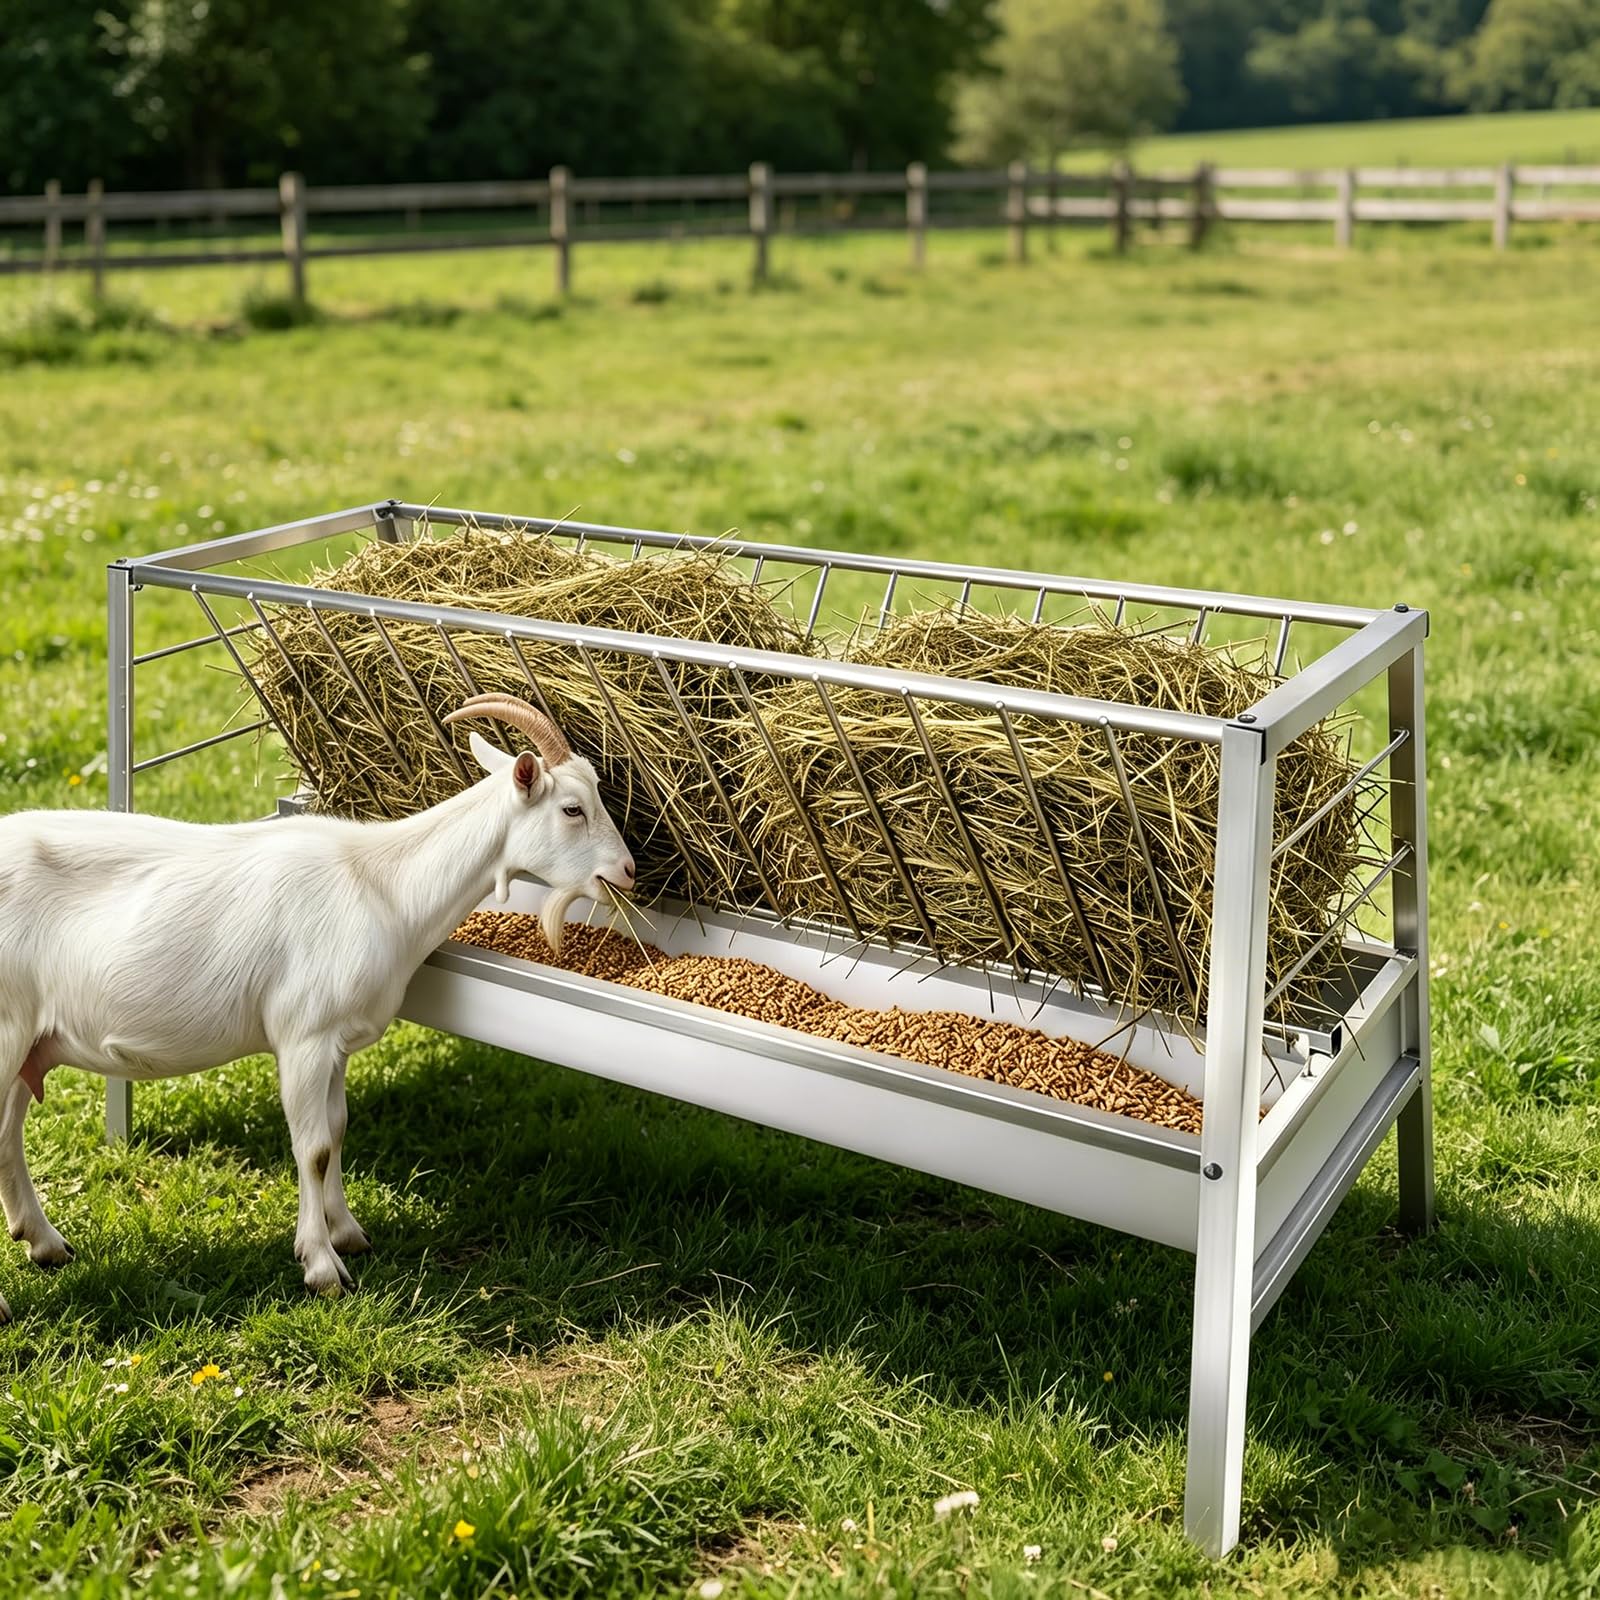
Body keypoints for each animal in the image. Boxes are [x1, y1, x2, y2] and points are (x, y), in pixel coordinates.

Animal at [0, 694, 634, 1317]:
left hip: (29, 1040)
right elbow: (315, 1146)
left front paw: (347, 1231)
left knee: (7, 1133)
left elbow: (338, 1128)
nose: (626, 871)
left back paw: (44, 1242)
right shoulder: (304, 1035)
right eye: (573, 809)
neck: (384, 884)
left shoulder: (338, 1043)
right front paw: (323, 1266)